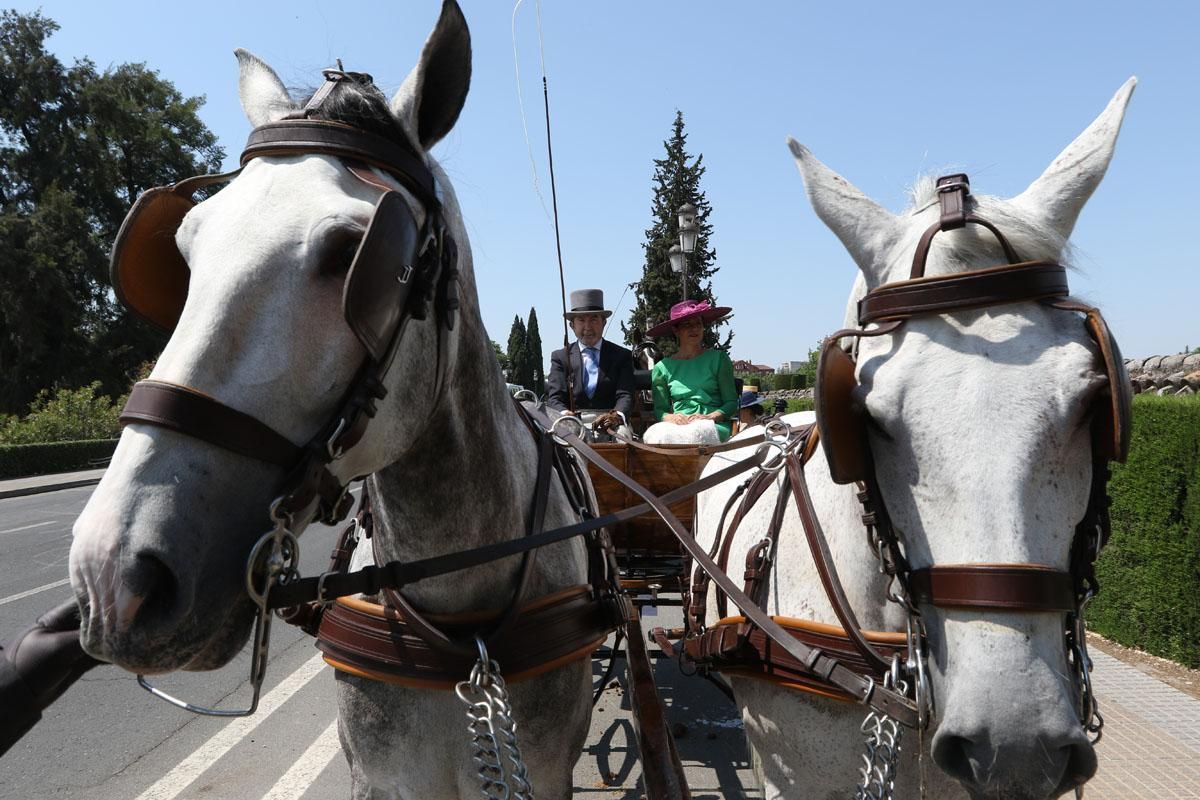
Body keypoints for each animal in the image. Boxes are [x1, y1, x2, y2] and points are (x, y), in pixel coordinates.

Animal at [68, 3, 600, 796]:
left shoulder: (541, 767)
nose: (112, 573)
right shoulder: (387, 776)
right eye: (185, 249)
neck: (463, 634)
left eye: (358, 254)